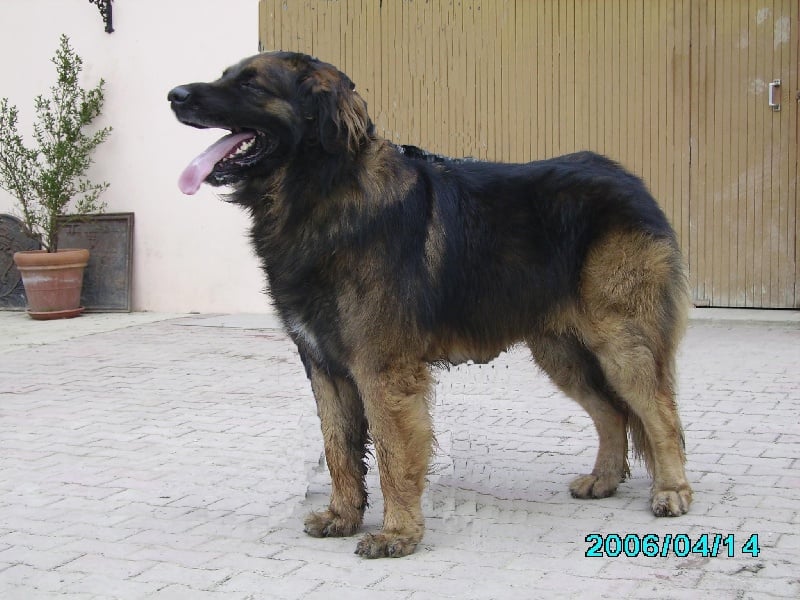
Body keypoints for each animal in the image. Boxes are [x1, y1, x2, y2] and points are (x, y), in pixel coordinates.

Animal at [169, 50, 692, 556]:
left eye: (251, 83)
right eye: (226, 75)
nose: (174, 95)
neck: (321, 190)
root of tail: (630, 181)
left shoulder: (382, 369)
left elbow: (392, 455)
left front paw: (397, 533)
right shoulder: (324, 364)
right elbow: (338, 447)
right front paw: (343, 516)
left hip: (620, 341)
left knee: (659, 412)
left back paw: (671, 491)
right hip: (562, 351)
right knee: (613, 412)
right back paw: (604, 479)